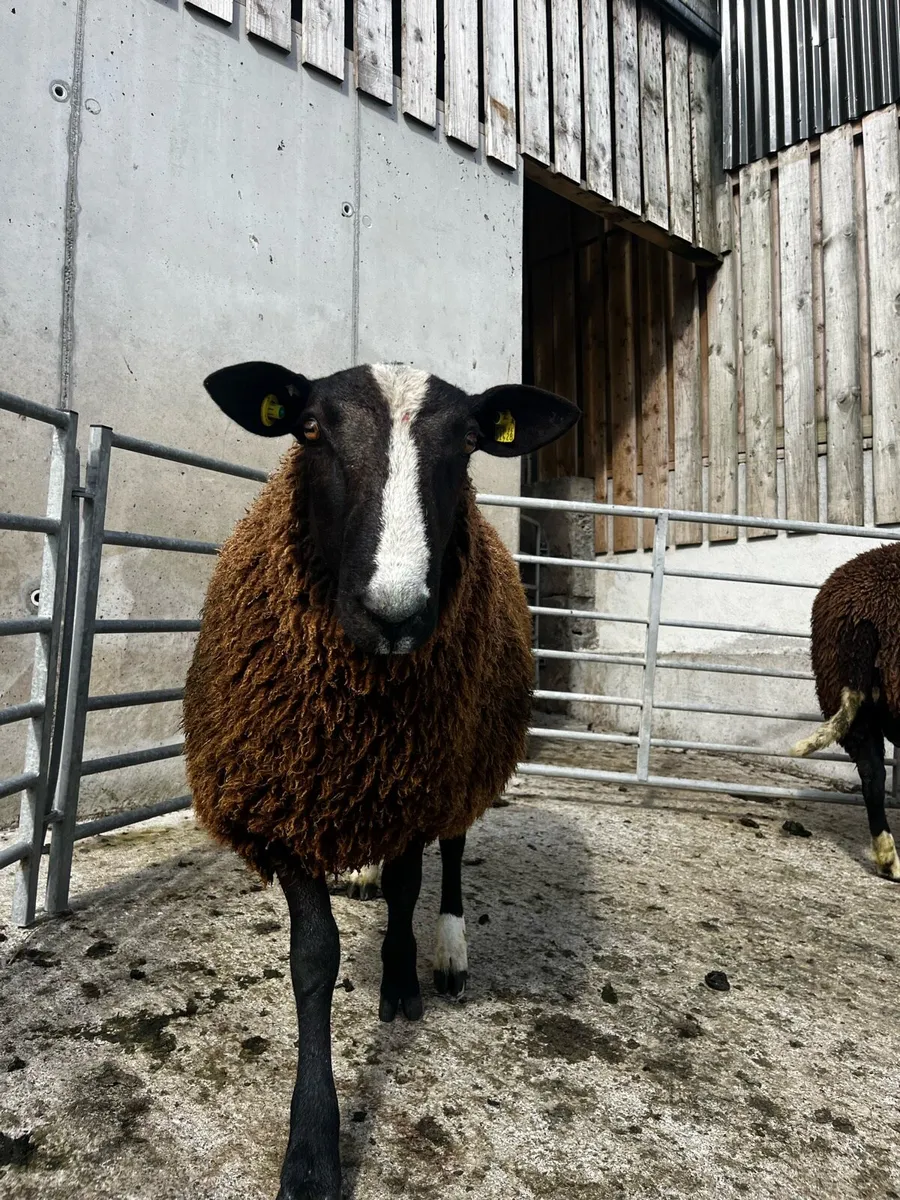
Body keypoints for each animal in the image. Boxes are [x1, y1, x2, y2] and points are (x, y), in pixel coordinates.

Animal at [182, 359, 578, 1200]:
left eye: (470, 441)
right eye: (308, 429)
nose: (393, 612)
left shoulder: (419, 788)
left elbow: (409, 887)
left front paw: (400, 984)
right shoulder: (285, 800)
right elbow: (314, 958)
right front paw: (311, 1150)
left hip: (471, 759)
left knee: (453, 855)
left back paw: (449, 951)